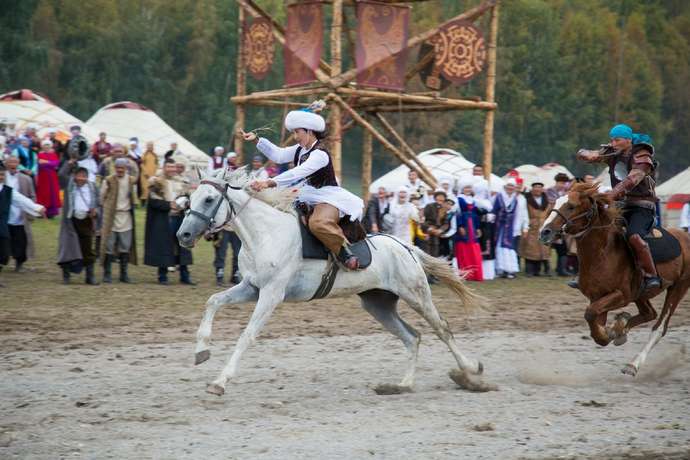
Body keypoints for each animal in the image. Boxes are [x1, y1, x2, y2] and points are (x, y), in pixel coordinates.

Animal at [175, 169, 482, 396]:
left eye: (208, 199)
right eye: (190, 198)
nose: (183, 235)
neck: (266, 234)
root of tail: (406, 247)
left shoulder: (271, 294)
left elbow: (247, 335)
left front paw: (220, 382)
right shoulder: (251, 288)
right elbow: (213, 301)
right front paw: (201, 351)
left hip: (416, 295)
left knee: (442, 329)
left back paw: (470, 372)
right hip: (378, 304)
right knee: (413, 337)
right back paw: (403, 385)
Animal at [536, 181, 688, 376]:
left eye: (571, 206)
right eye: (554, 202)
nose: (544, 232)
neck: (603, 253)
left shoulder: (621, 296)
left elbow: (590, 314)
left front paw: (611, 331)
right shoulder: (597, 297)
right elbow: (595, 324)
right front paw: (613, 330)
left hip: (678, 287)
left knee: (659, 327)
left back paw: (633, 364)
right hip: (641, 294)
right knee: (649, 313)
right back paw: (621, 327)